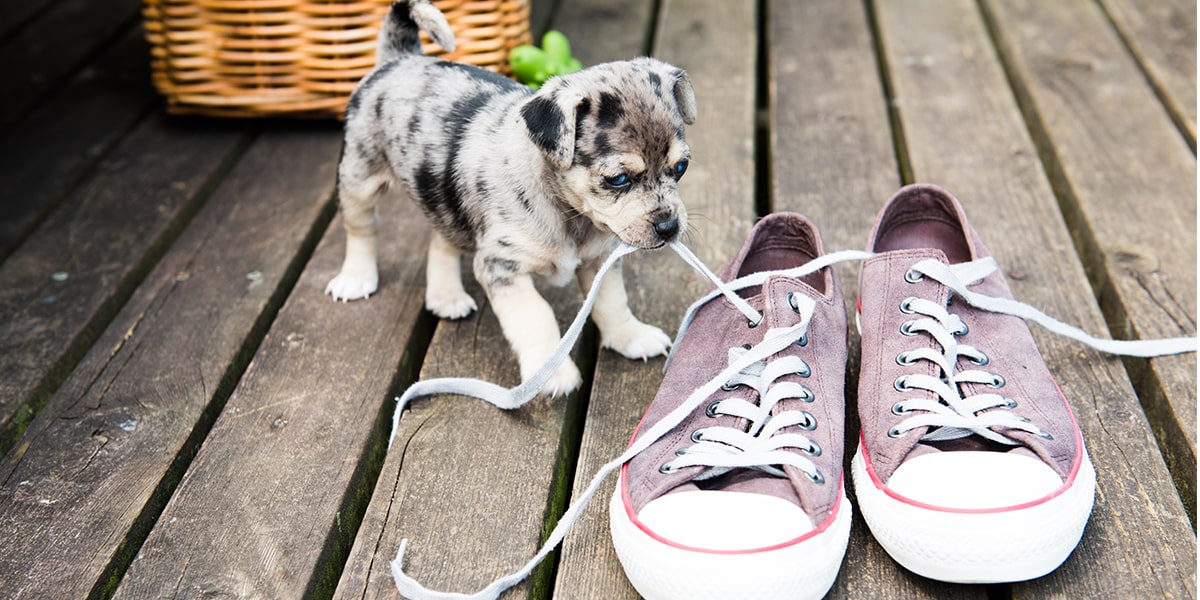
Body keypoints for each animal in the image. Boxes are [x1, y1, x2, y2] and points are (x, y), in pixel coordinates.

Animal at [328, 1, 700, 398]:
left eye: (681, 167)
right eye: (618, 179)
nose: (669, 226)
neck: (569, 213)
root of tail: (400, 57)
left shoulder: (600, 261)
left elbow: (612, 302)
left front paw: (630, 336)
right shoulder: (502, 269)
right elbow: (536, 316)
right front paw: (551, 373)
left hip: (442, 196)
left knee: (440, 240)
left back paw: (446, 295)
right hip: (359, 178)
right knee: (361, 229)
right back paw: (356, 278)